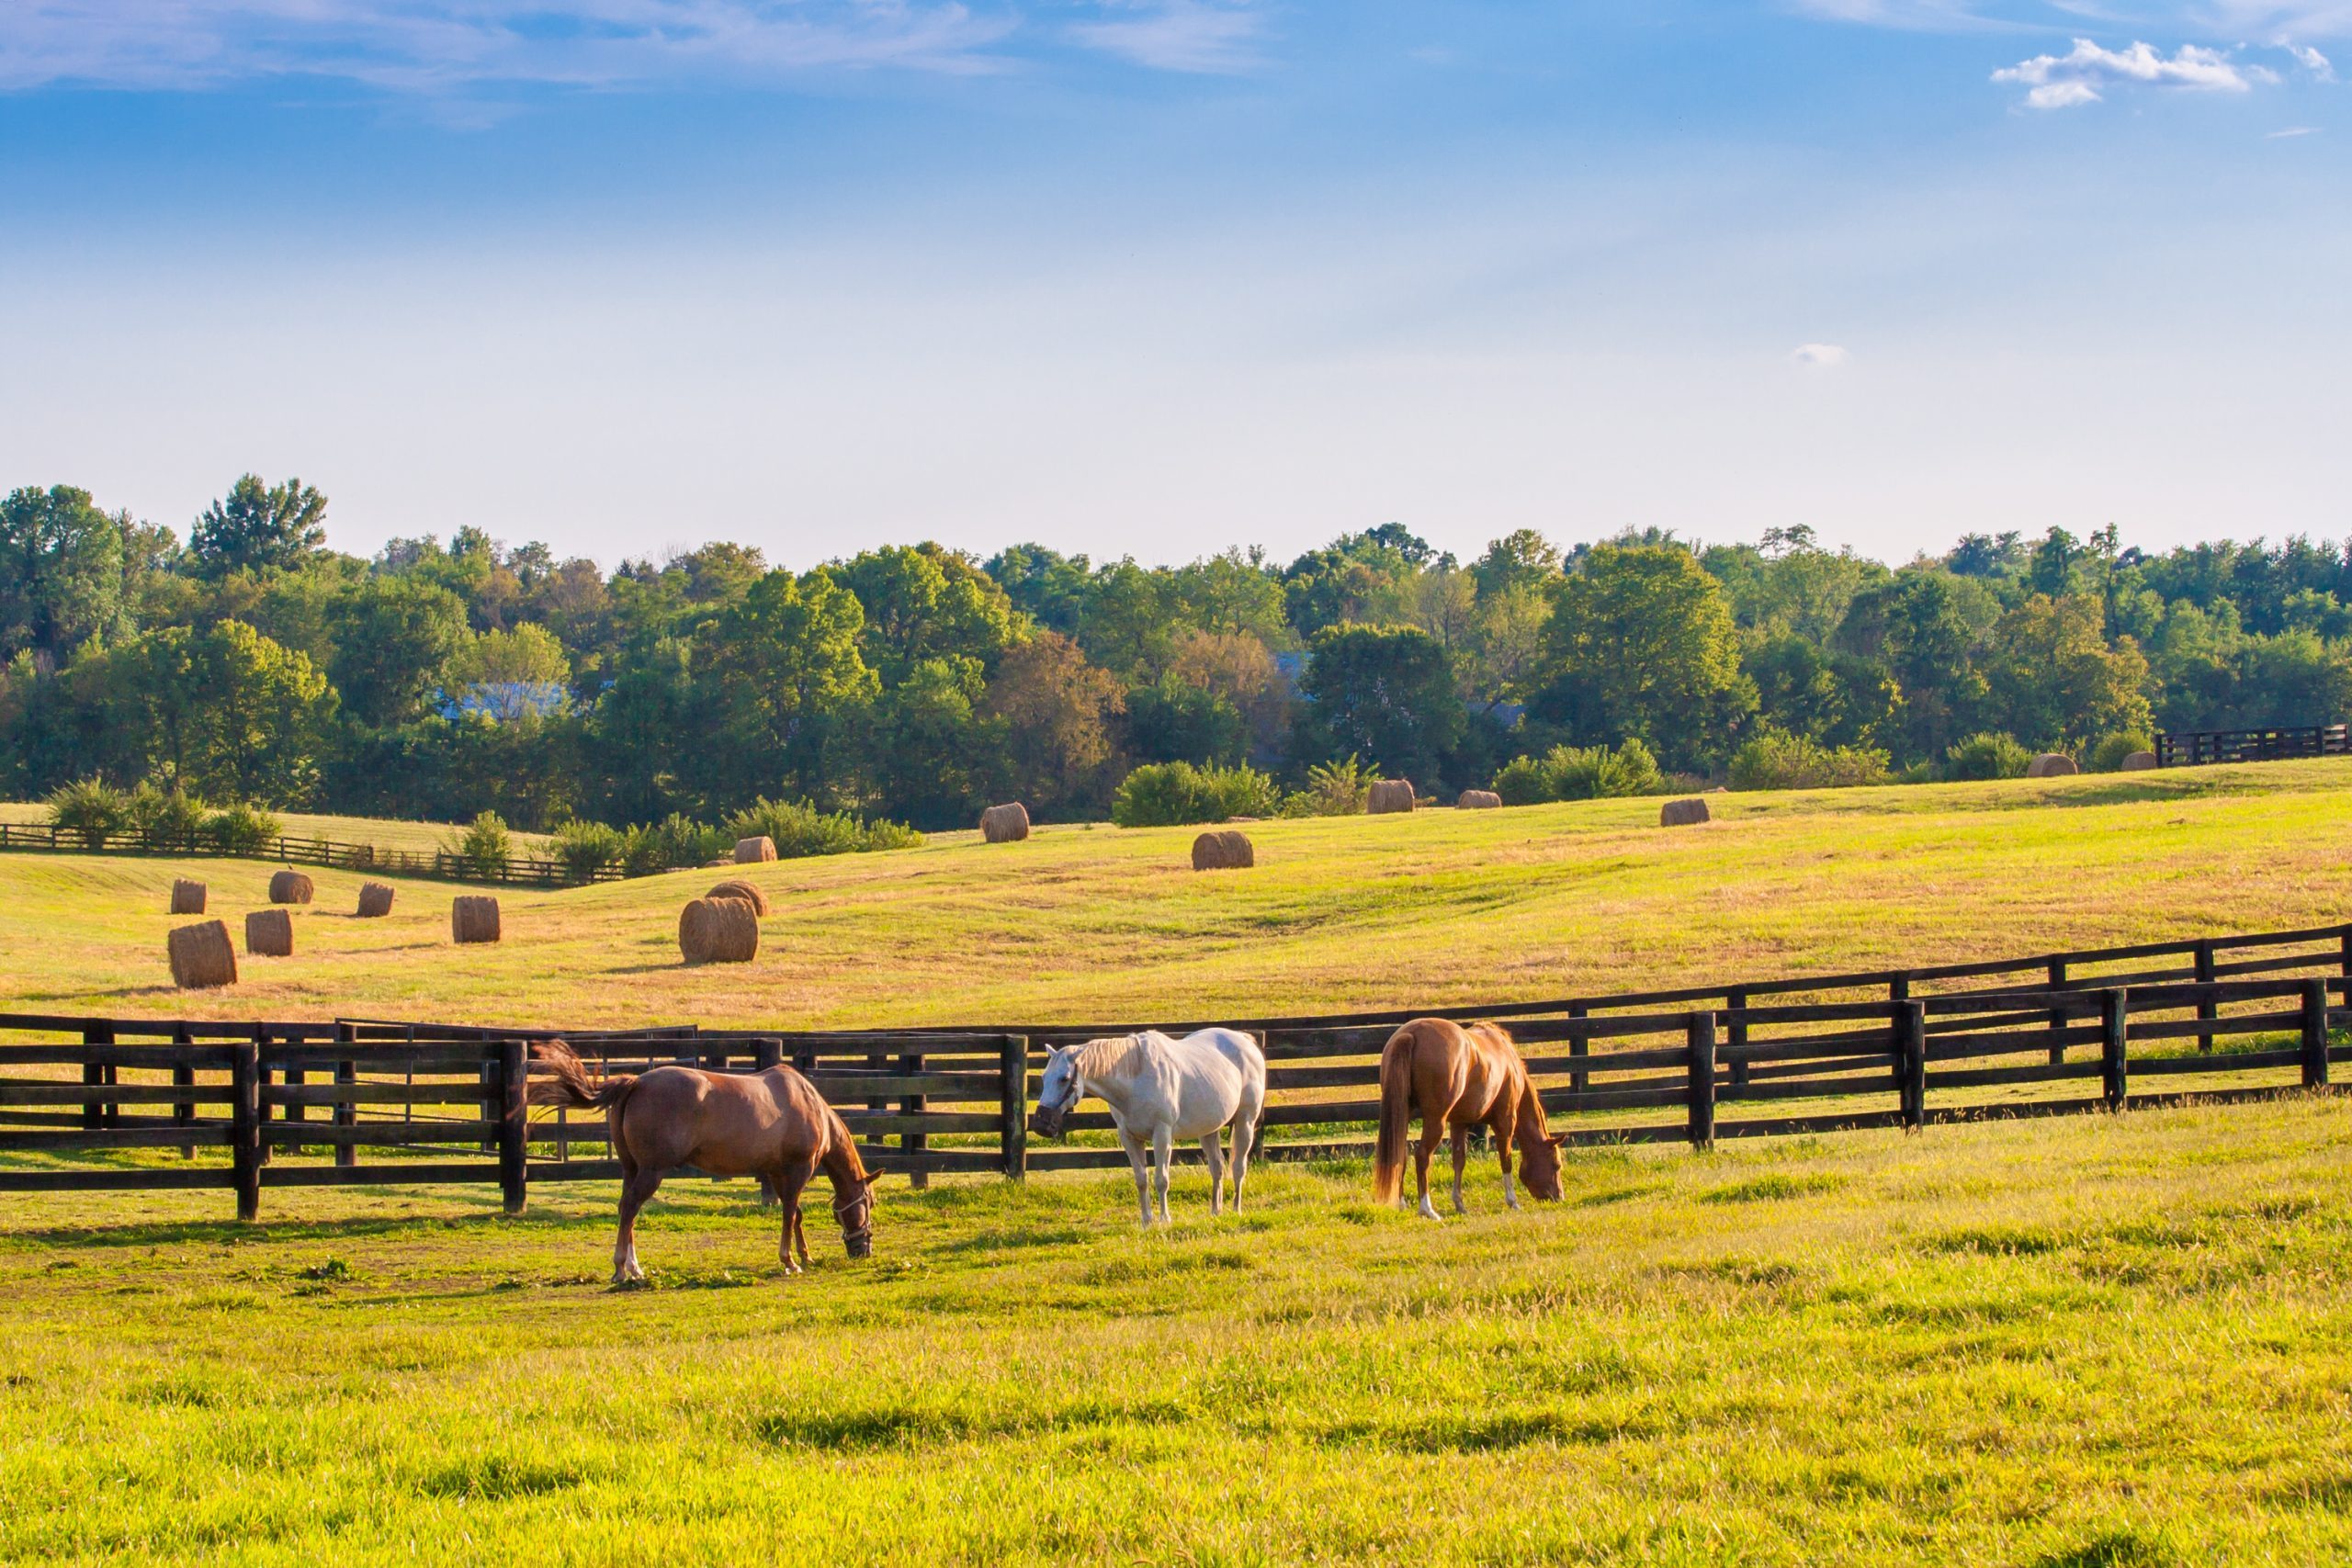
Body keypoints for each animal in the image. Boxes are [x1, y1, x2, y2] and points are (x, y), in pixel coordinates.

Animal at [529, 1043, 879, 1288]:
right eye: (870, 1203)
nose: (863, 1249)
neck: (810, 1105)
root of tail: (636, 1082)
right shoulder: (797, 1171)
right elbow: (791, 1214)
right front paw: (790, 1260)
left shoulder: (777, 1173)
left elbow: (796, 1215)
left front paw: (805, 1255)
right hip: (651, 1171)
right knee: (630, 1208)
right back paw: (620, 1269)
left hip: (632, 1169)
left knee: (626, 1210)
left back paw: (635, 1267)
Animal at [1035, 1029, 1270, 1222]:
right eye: (1044, 1077)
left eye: (1064, 1078)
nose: (1042, 1123)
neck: (1135, 1078)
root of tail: (1244, 1040)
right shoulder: (1128, 1138)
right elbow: (1141, 1179)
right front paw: (1146, 1221)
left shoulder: (1162, 1135)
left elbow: (1161, 1179)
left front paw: (1164, 1219)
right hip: (1209, 1129)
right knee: (1217, 1167)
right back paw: (1215, 1211)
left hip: (1245, 1122)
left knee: (1238, 1167)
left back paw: (1236, 1210)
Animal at [1363, 1020, 1561, 1222]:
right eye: (1556, 1165)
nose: (1559, 1197)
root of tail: (1411, 1033)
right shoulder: (1505, 1122)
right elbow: (1506, 1160)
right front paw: (1513, 1201)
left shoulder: (1459, 1123)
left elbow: (1459, 1161)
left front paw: (1459, 1204)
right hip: (1436, 1120)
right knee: (1422, 1156)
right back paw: (1427, 1209)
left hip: (1403, 1115)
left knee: (1400, 1155)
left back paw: (1402, 1205)